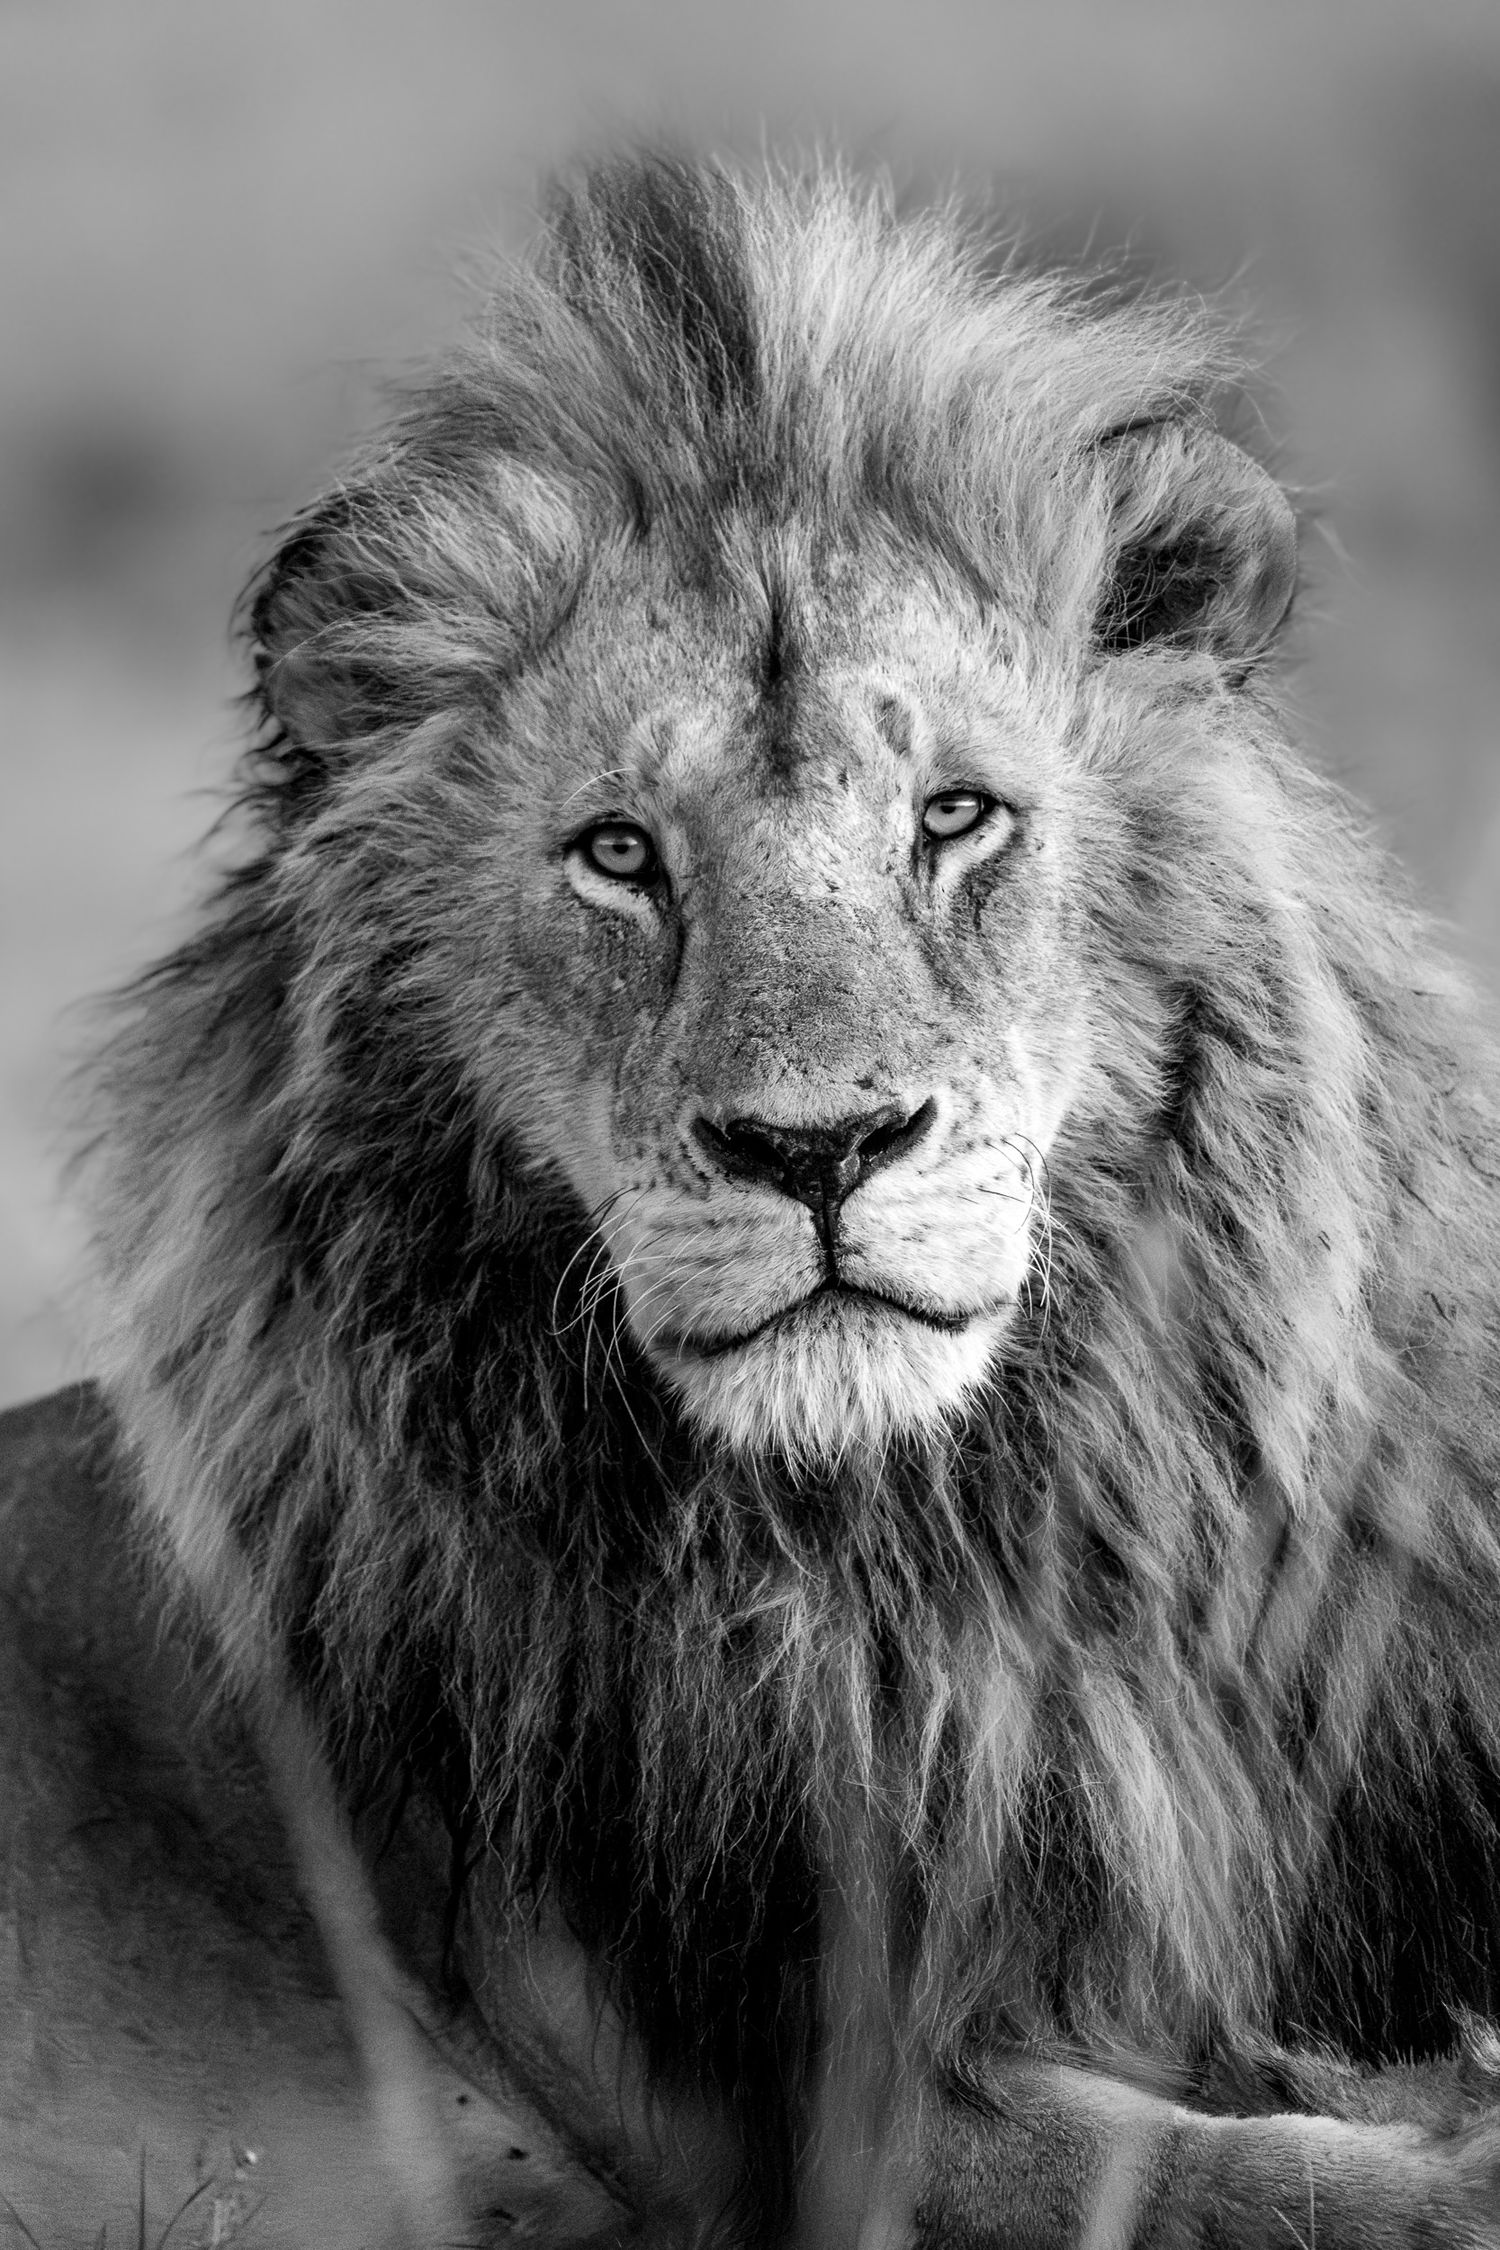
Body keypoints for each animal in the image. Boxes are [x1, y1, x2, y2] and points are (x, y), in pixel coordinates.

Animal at [4, 150, 1500, 2248]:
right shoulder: (820, 2119)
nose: (818, 1149)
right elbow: (1229, 2176)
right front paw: (1439, 2133)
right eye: (620, 856)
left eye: (954, 817)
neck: (962, 1565)